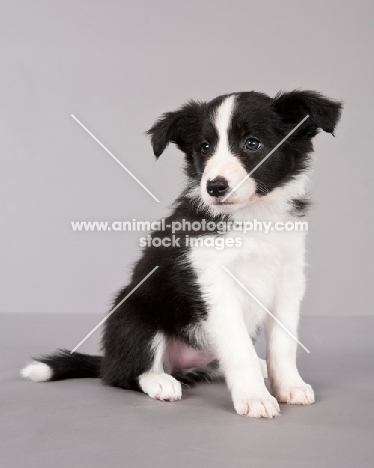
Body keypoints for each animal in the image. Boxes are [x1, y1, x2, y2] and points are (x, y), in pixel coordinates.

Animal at [21, 89, 342, 418]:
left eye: (252, 143)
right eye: (204, 147)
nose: (214, 186)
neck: (252, 217)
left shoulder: (288, 280)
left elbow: (283, 344)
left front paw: (290, 386)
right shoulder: (214, 284)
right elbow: (239, 349)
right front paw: (254, 397)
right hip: (133, 317)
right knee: (124, 373)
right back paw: (159, 381)